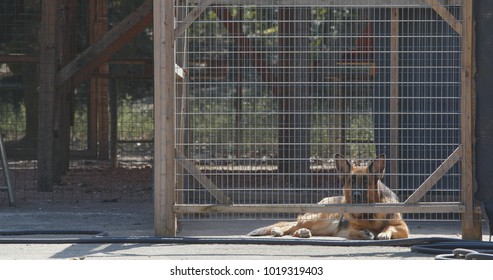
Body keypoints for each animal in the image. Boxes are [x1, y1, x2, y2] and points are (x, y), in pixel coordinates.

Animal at [248, 154, 410, 240]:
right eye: (351, 181)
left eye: (365, 182)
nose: (356, 195)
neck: (368, 215)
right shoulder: (345, 229)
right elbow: (354, 231)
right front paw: (365, 233)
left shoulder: (403, 227)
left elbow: (389, 226)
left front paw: (383, 233)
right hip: (321, 217)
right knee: (292, 226)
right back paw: (280, 231)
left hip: (324, 226)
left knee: (296, 230)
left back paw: (302, 233)